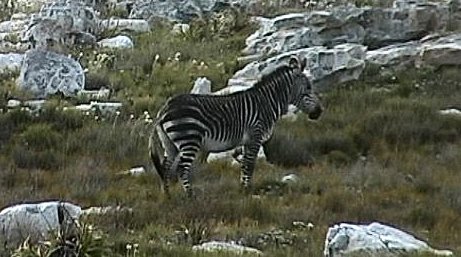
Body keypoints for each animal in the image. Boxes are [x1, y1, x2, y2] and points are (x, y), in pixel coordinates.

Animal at [149, 55, 322, 196]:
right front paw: (247, 190)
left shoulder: (247, 141)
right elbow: (250, 165)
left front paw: (242, 188)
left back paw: (167, 196)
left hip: (170, 144)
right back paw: (190, 196)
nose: (319, 112)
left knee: (165, 167)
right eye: (308, 87)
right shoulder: (255, 136)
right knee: (181, 169)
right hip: (189, 139)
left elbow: (244, 165)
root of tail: (165, 108)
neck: (266, 103)